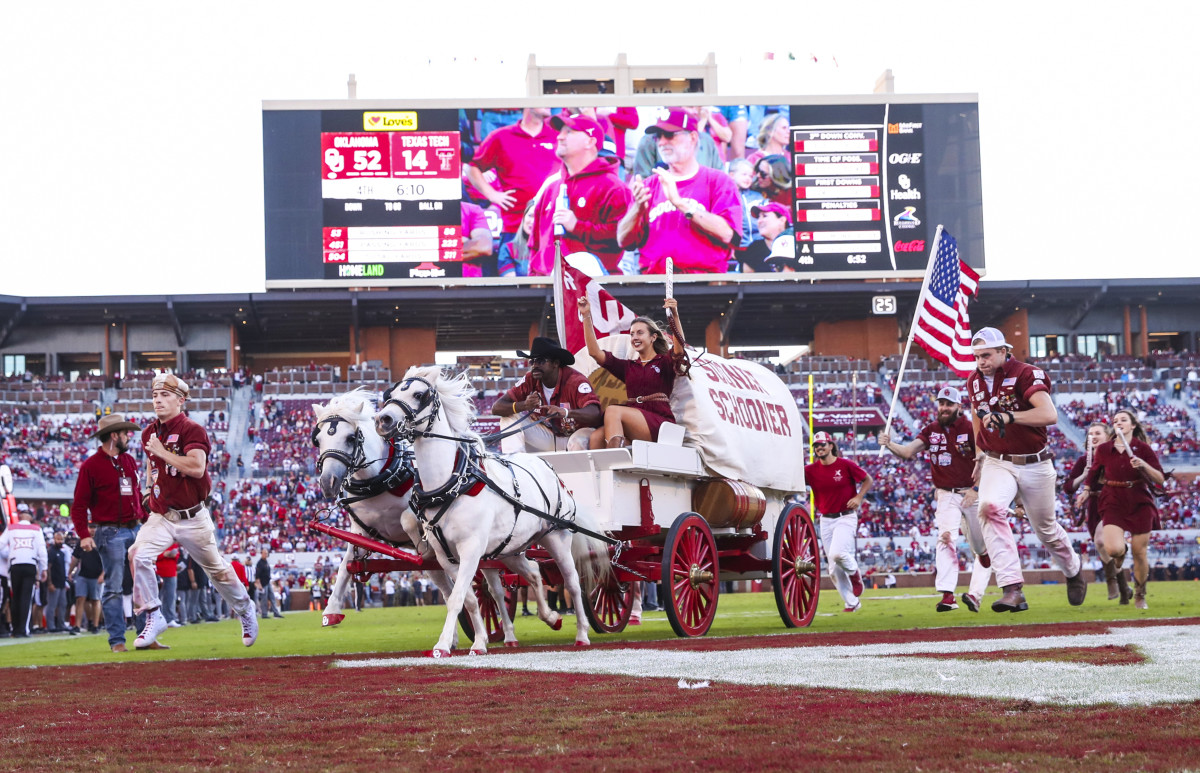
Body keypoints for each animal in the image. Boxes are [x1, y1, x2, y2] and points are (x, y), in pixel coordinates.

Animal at [312, 386, 513, 648]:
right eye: (318, 440)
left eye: (350, 438)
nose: (328, 483)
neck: (378, 480)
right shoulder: (361, 530)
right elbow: (346, 563)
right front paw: (331, 610)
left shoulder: (419, 512)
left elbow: (407, 519)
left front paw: (420, 545)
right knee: (449, 590)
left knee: (494, 589)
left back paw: (506, 633)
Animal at [374, 364, 609, 652]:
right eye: (391, 393)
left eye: (419, 394)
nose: (382, 420)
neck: (452, 484)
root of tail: (548, 466)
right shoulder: (445, 556)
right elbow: (469, 599)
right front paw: (479, 641)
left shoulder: (471, 548)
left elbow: (456, 598)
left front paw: (443, 645)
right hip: (509, 549)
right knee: (533, 573)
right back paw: (550, 618)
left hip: (557, 538)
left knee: (573, 583)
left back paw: (582, 633)